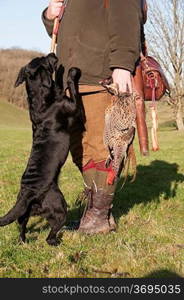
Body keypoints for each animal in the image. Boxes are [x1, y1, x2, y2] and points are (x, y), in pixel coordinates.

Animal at [0, 53, 81, 246]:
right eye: (44, 59)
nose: (52, 54)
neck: (40, 98)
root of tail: (28, 193)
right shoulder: (73, 107)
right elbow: (71, 87)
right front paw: (71, 73)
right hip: (59, 206)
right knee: (50, 235)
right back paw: (56, 241)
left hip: (24, 213)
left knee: (21, 225)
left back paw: (23, 242)